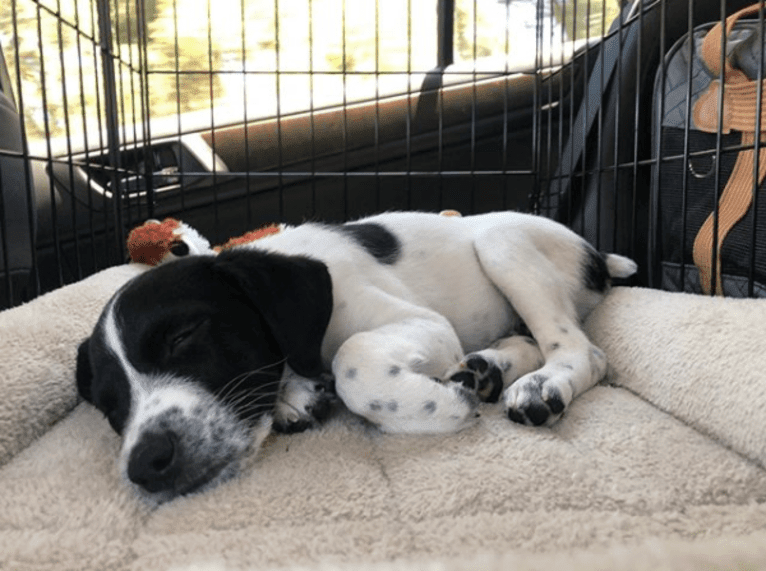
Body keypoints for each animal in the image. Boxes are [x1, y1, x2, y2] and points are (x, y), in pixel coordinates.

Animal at [75, 212, 640, 502]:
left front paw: (440, 405)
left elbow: (352, 357)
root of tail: (595, 252)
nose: (145, 464)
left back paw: (540, 386)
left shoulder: (425, 325)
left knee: (580, 350)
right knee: (526, 342)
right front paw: (296, 394)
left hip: (502, 243)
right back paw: (486, 369)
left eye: (183, 336)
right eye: (111, 407)